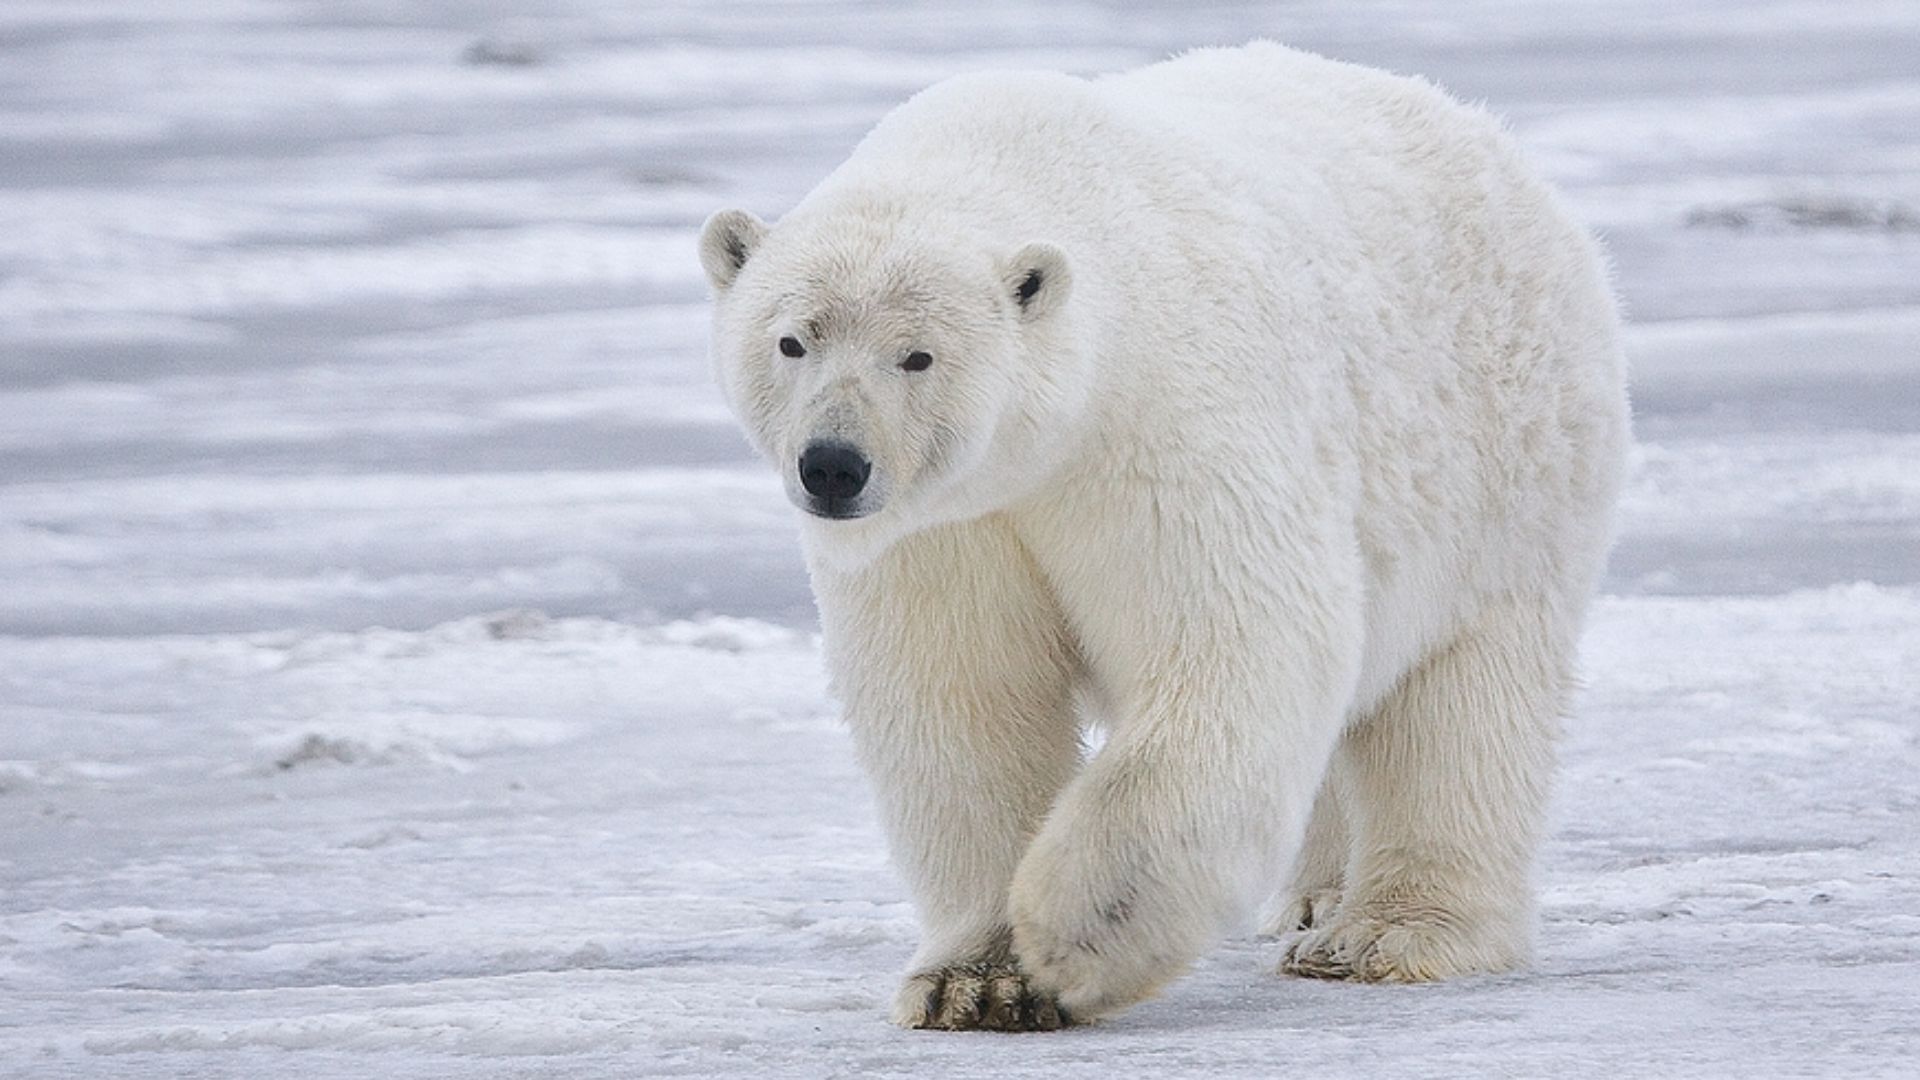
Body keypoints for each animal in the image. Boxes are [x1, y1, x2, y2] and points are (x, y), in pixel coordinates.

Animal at [698, 41, 1629, 1030]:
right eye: (792, 340)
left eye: (918, 355)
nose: (833, 466)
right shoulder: (947, 526)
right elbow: (962, 700)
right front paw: (975, 981)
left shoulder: (1164, 427)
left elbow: (1234, 645)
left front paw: (1073, 936)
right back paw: (1314, 897)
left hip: (1506, 466)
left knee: (1462, 704)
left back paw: (1384, 935)